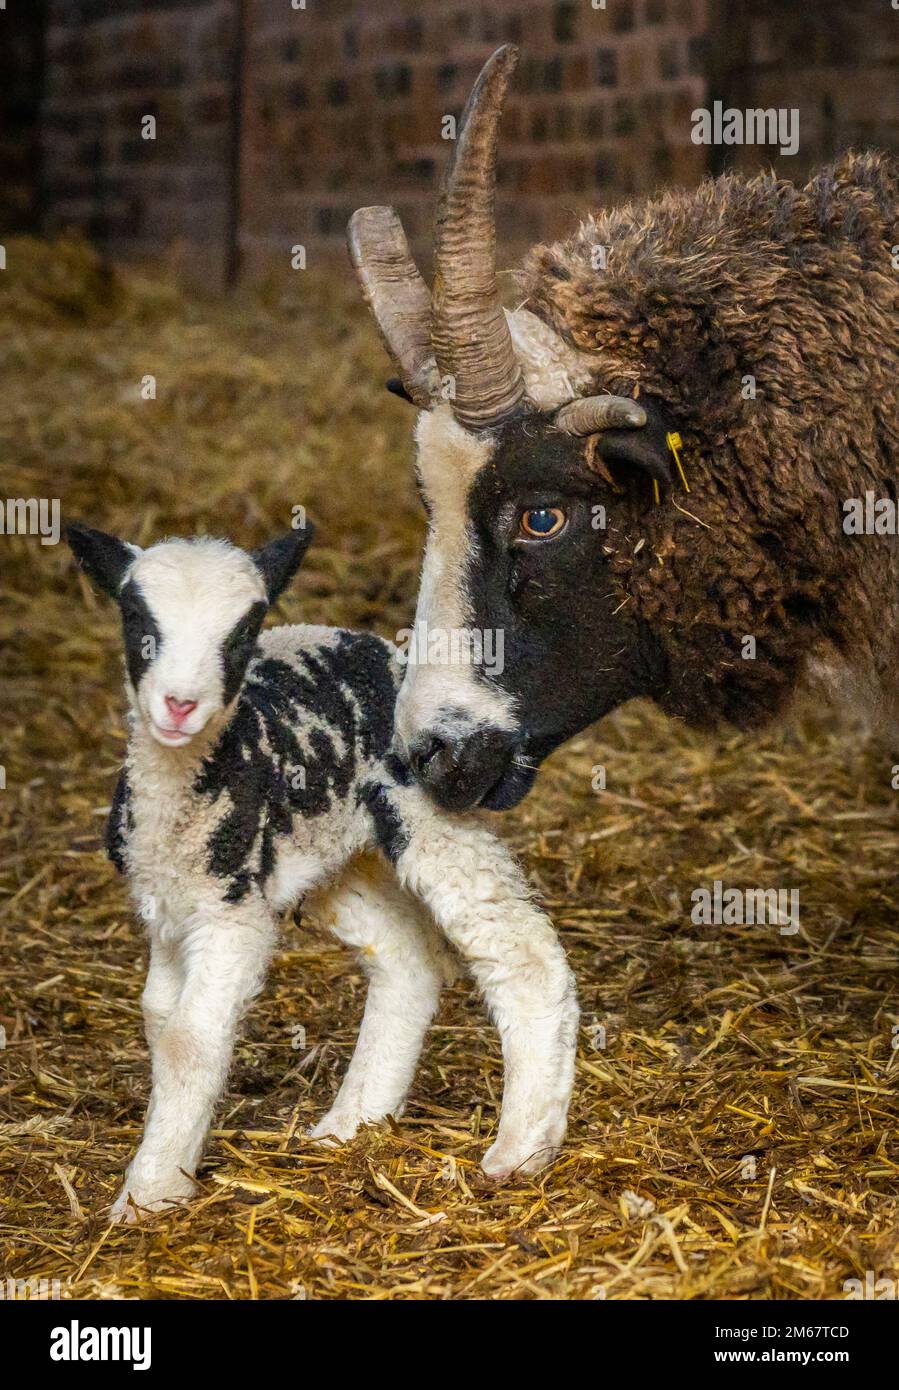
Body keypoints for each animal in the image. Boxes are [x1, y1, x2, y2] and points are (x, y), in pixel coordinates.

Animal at [66, 519, 580, 1217]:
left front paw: (151, 1194)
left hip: (435, 816)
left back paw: (522, 1148)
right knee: (406, 960)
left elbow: (189, 1041)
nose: (179, 705)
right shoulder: (168, 906)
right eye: (136, 616)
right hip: (338, 858)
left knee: (522, 956)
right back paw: (352, 1123)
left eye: (244, 631)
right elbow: (158, 1020)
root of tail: (376, 647)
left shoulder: (232, 915)